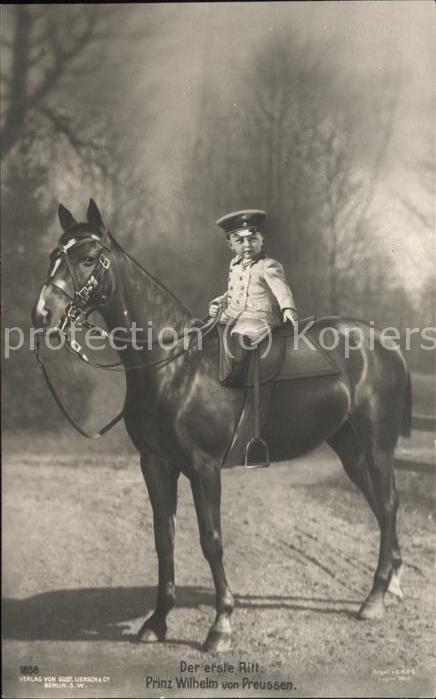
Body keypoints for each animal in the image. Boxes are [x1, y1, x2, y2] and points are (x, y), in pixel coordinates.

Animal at [31, 200, 411, 652]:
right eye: (55, 256)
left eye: (88, 258)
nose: (42, 316)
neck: (175, 365)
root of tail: (385, 344)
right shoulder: (155, 464)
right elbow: (164, 538)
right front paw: (157, 621)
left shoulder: (204, 467)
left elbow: (211, 540)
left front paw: (221, 625)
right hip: (350, 449)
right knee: (379, 505)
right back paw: (391, 585)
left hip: (376, 447)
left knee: (387, 506)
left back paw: (374, 598)